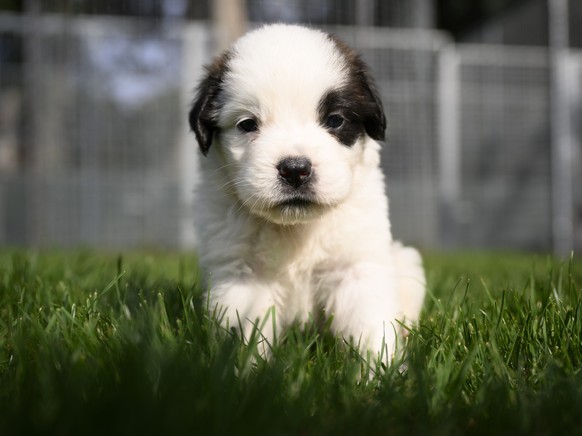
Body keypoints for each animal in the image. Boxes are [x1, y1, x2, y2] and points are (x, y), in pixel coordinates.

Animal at [189, 24, 426, 364]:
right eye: (247, 124)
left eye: (335, 120)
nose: (295, 170)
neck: (296, 230)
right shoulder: (243, 276)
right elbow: (247, 332)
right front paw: (244, 373)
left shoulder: (355, 267)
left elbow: (370, 328)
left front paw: (380, 373)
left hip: (406, 262)